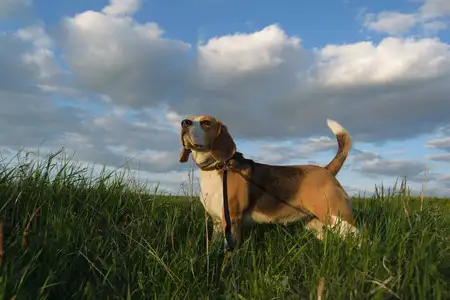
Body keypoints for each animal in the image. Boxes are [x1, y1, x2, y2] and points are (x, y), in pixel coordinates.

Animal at [178, 115, 358, 248]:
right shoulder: (217, 220)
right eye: (191, 118)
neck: (216, 168)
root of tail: (326, 170)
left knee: (359, 238)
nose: (184, 122)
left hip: (338, 217)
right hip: (315, 222)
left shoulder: (232, 219)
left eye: (206, 122)